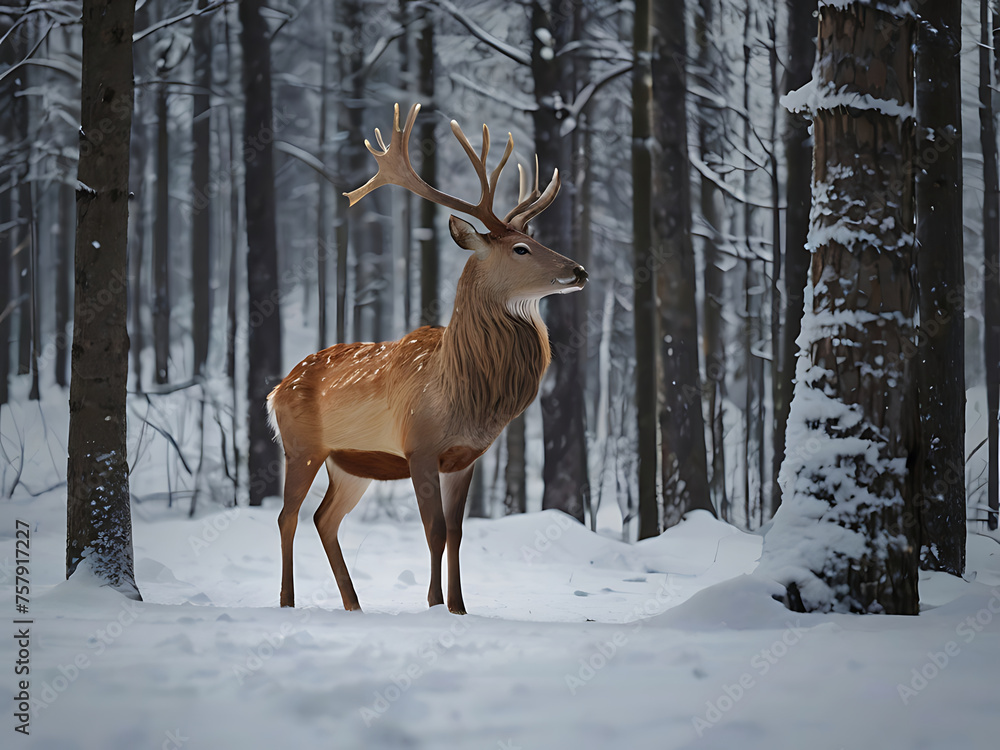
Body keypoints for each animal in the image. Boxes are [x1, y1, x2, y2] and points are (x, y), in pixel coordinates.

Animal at [267, 103, 587, 614]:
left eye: (535, 241)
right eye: (521, 248)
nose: (578, 270)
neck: (460, 390)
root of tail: (277, 389)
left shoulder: (465, 457)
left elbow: (456, 532)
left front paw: (459, 606)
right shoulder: (419, 447)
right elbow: (434, 530)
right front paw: (436, 604)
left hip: (350, 463)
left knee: (324, 518)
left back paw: (354, 604)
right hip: (301, 447)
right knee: (288, 516)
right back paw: (287, 600)